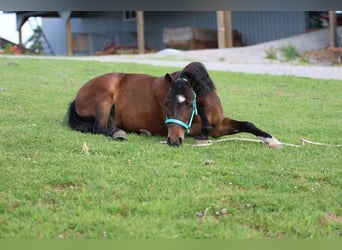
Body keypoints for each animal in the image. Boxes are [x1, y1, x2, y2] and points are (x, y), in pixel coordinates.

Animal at [67, 62, 280, 147]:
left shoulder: (220, 124)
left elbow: (247, 124)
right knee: (99, 127)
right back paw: (118, 133)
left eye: (189, 104)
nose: (173, 140)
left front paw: (271, 139)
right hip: (105, 97)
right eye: (166, 103)